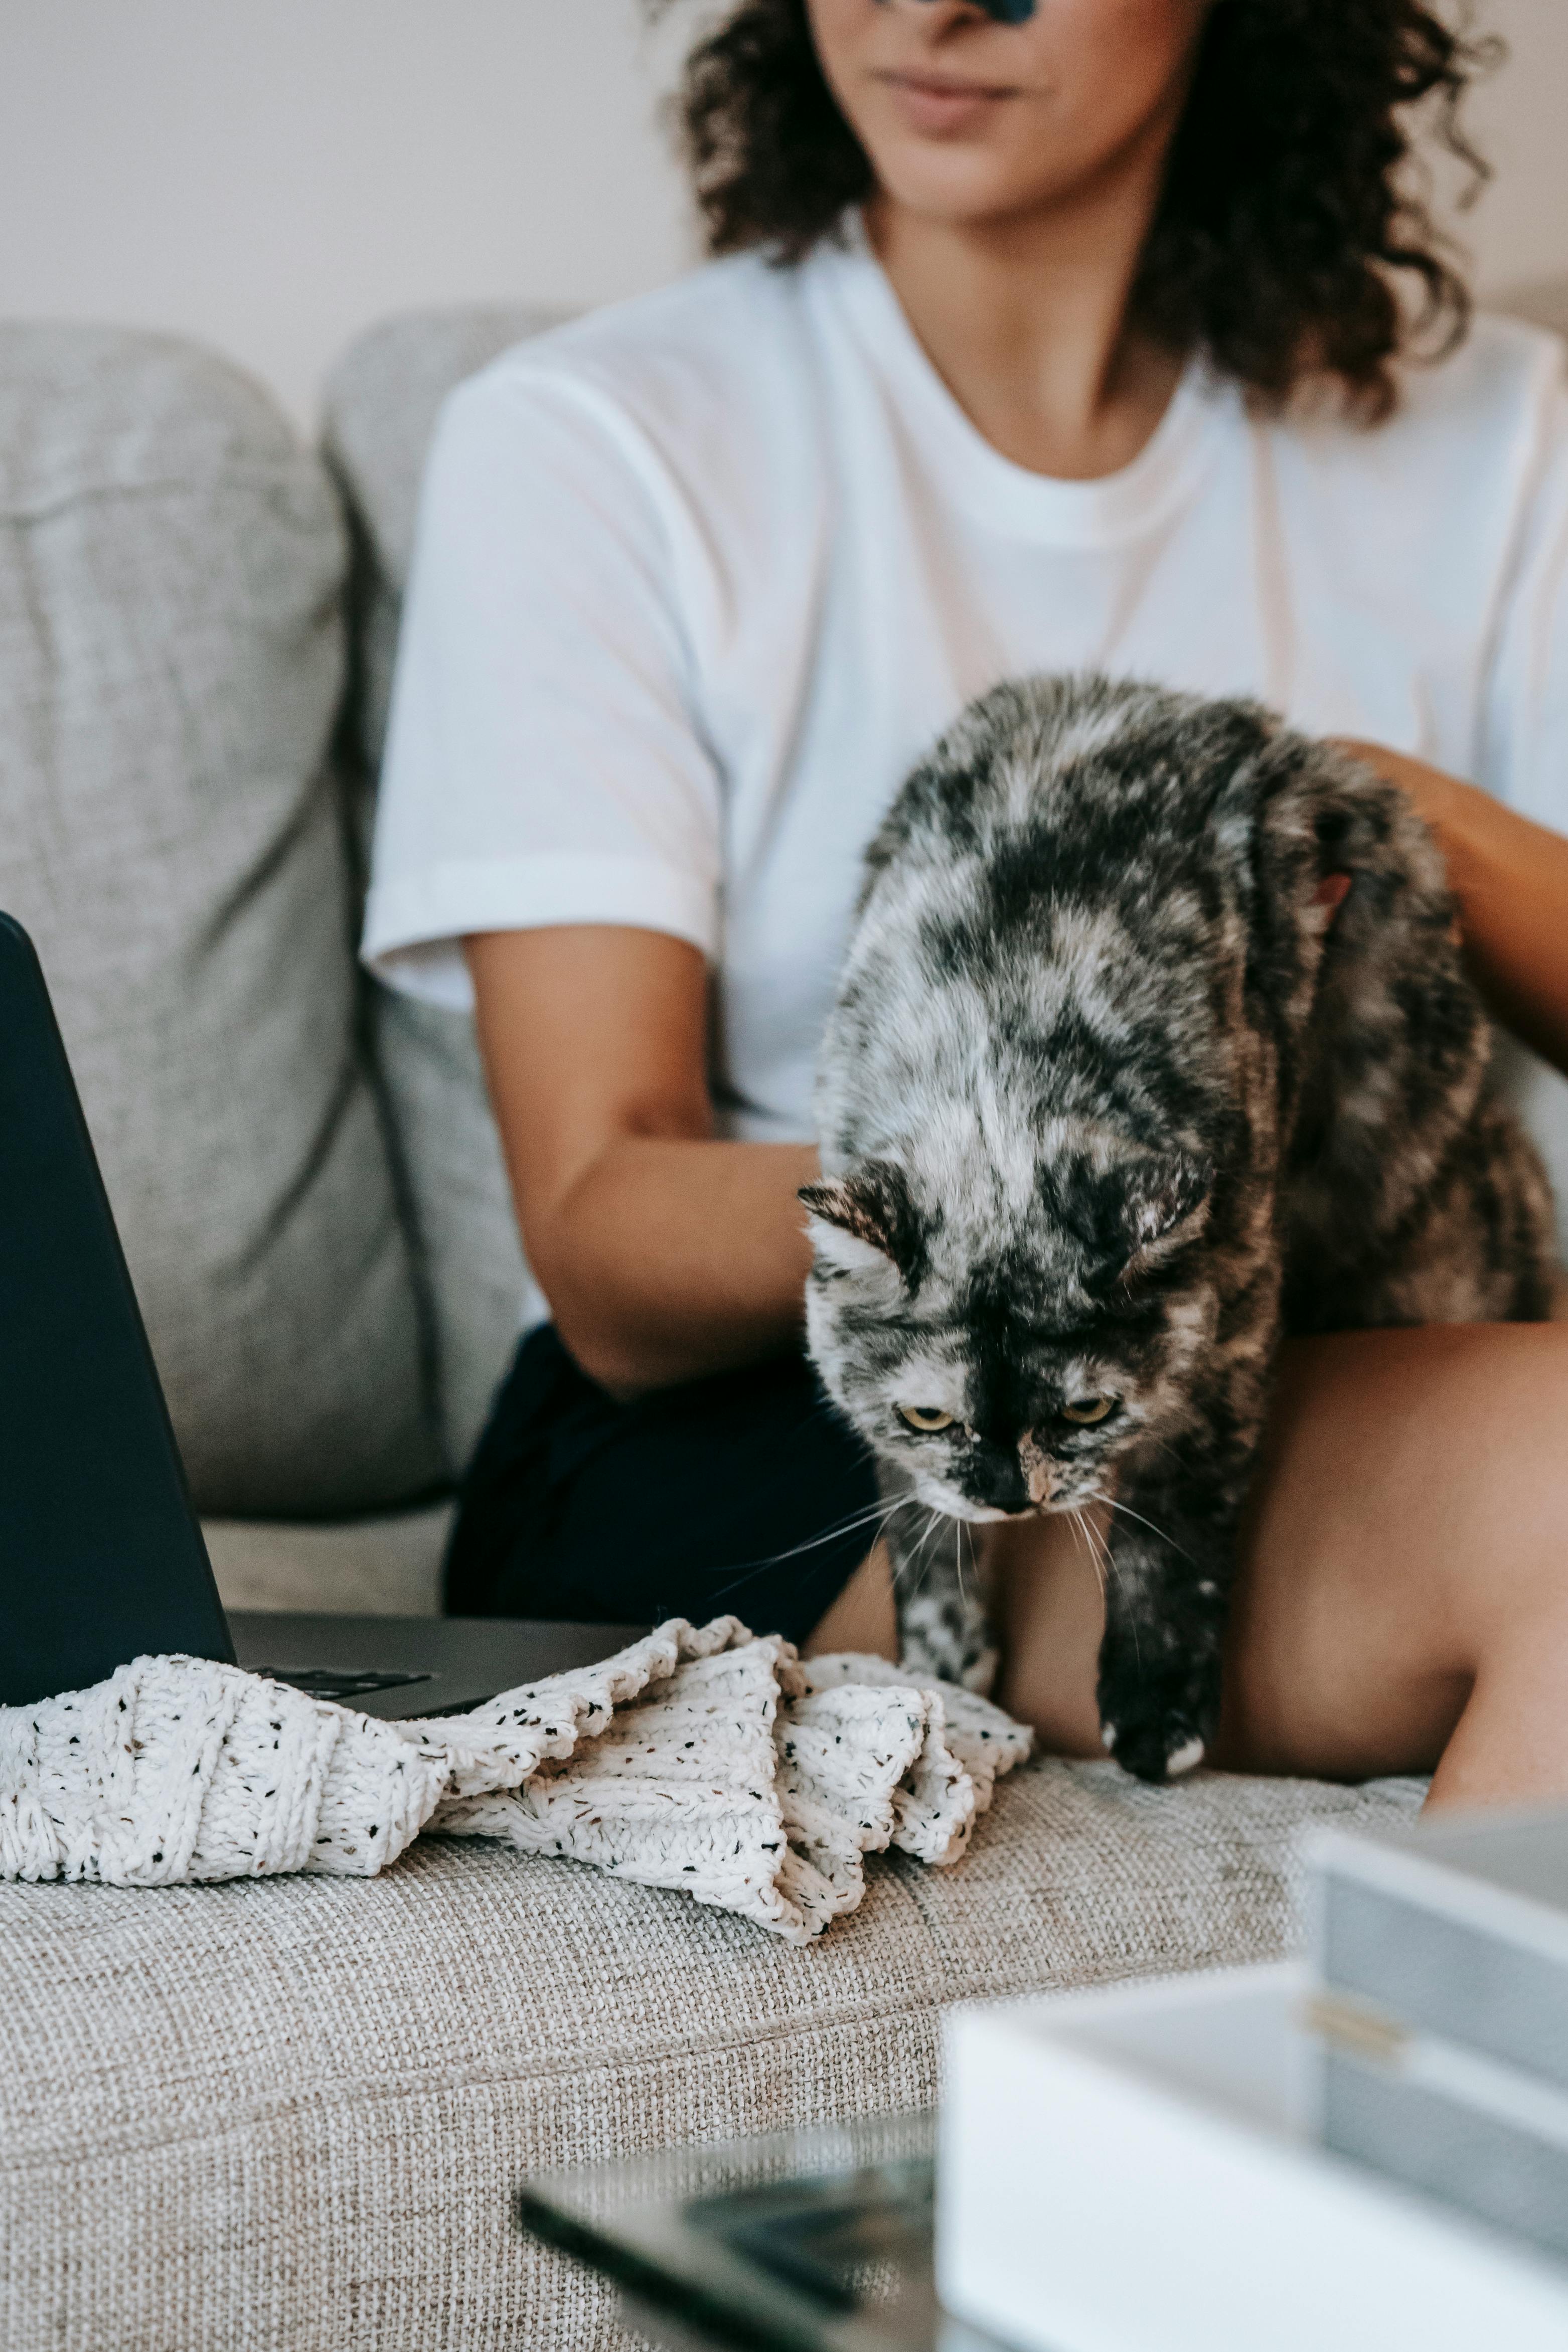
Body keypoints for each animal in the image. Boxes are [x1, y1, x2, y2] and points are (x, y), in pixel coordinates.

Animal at [804, 677, 1560, 1778]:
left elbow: (1174, 1518)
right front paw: (943, 1660)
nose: (1011, 1498)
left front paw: (1156, 1704)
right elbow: (913, 1511)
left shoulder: (1230, 1309)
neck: (997, 1074)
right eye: (930, 1415)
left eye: (1087, 1409)